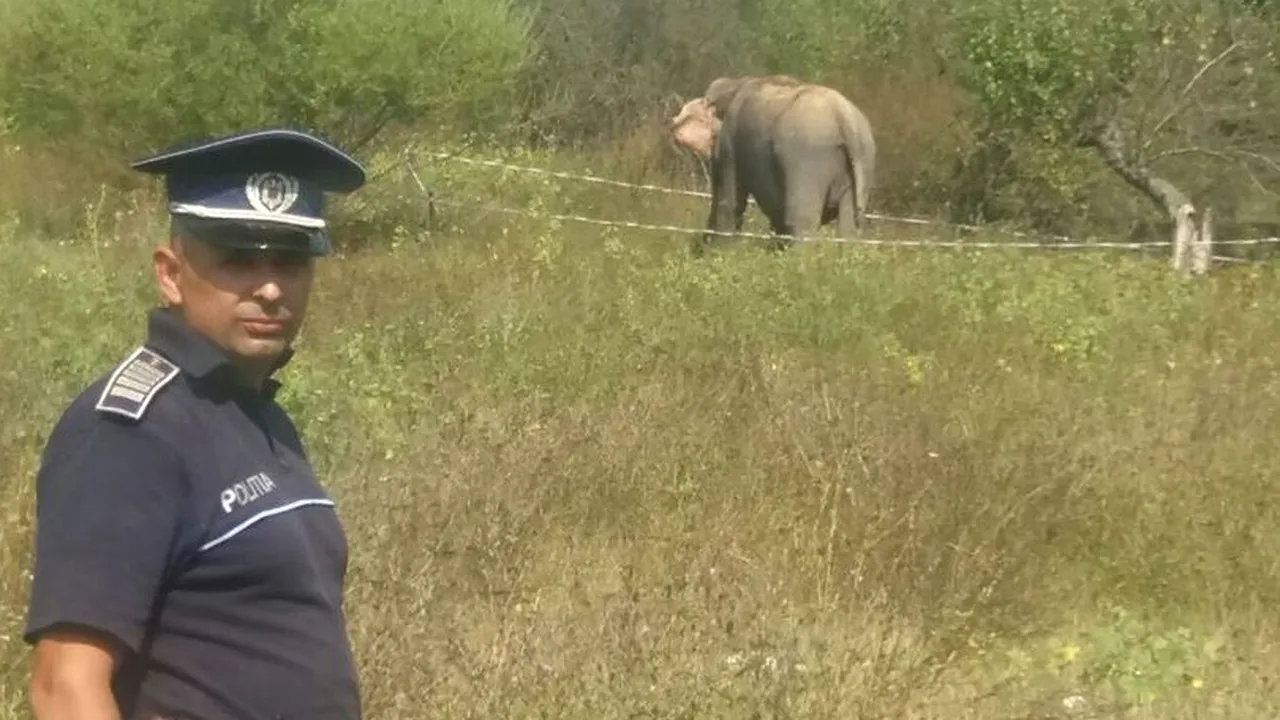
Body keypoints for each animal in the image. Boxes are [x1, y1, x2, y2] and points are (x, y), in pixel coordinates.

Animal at [694, 74, 876, 253]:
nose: (700, 247)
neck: (735, 83)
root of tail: (844, 117)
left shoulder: (729, 143)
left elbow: (731, 203)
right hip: (862, 159)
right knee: (849, 225)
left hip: (807, 157)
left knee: (802, 221)